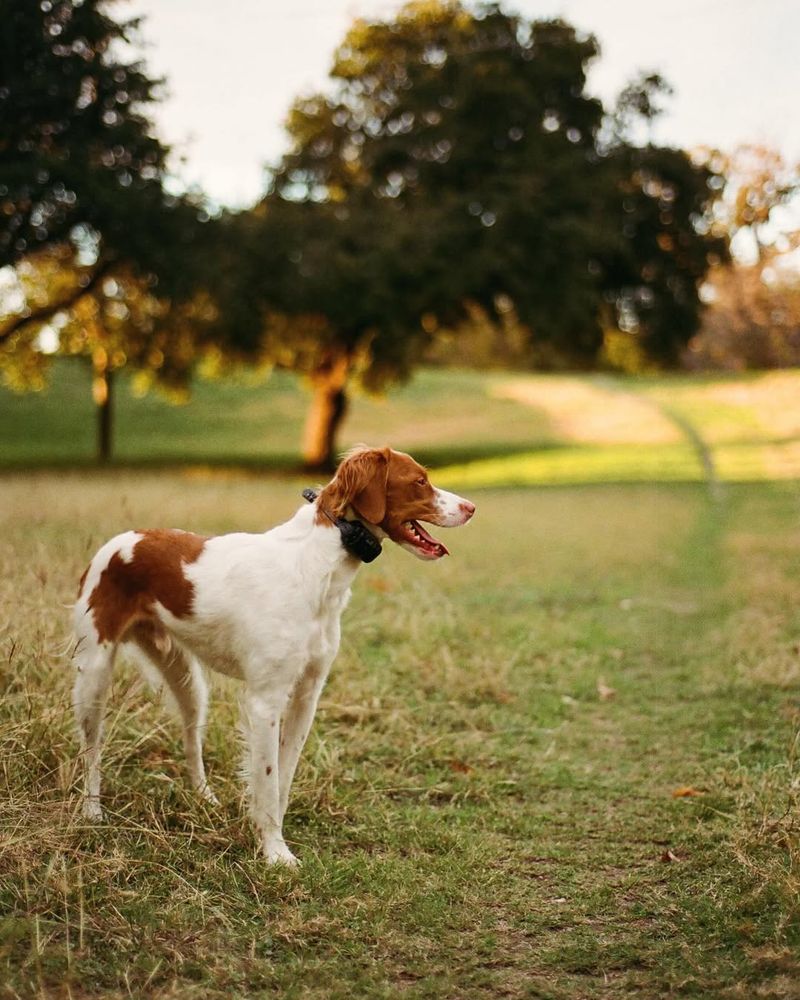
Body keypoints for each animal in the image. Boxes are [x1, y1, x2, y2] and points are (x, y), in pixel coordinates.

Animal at [73, 446, 476, 860]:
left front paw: (273, 839)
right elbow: (267, 781)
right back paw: (92, 811)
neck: (318, 566)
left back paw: (203, 798)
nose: (471, 507)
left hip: (188, 681)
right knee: (91, 747)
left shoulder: (306, 695)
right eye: (420, 481)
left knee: (191, 739)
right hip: (94, 673)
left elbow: (282, 778)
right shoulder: (265, 700)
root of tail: (121, 540)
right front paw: (275, 853)